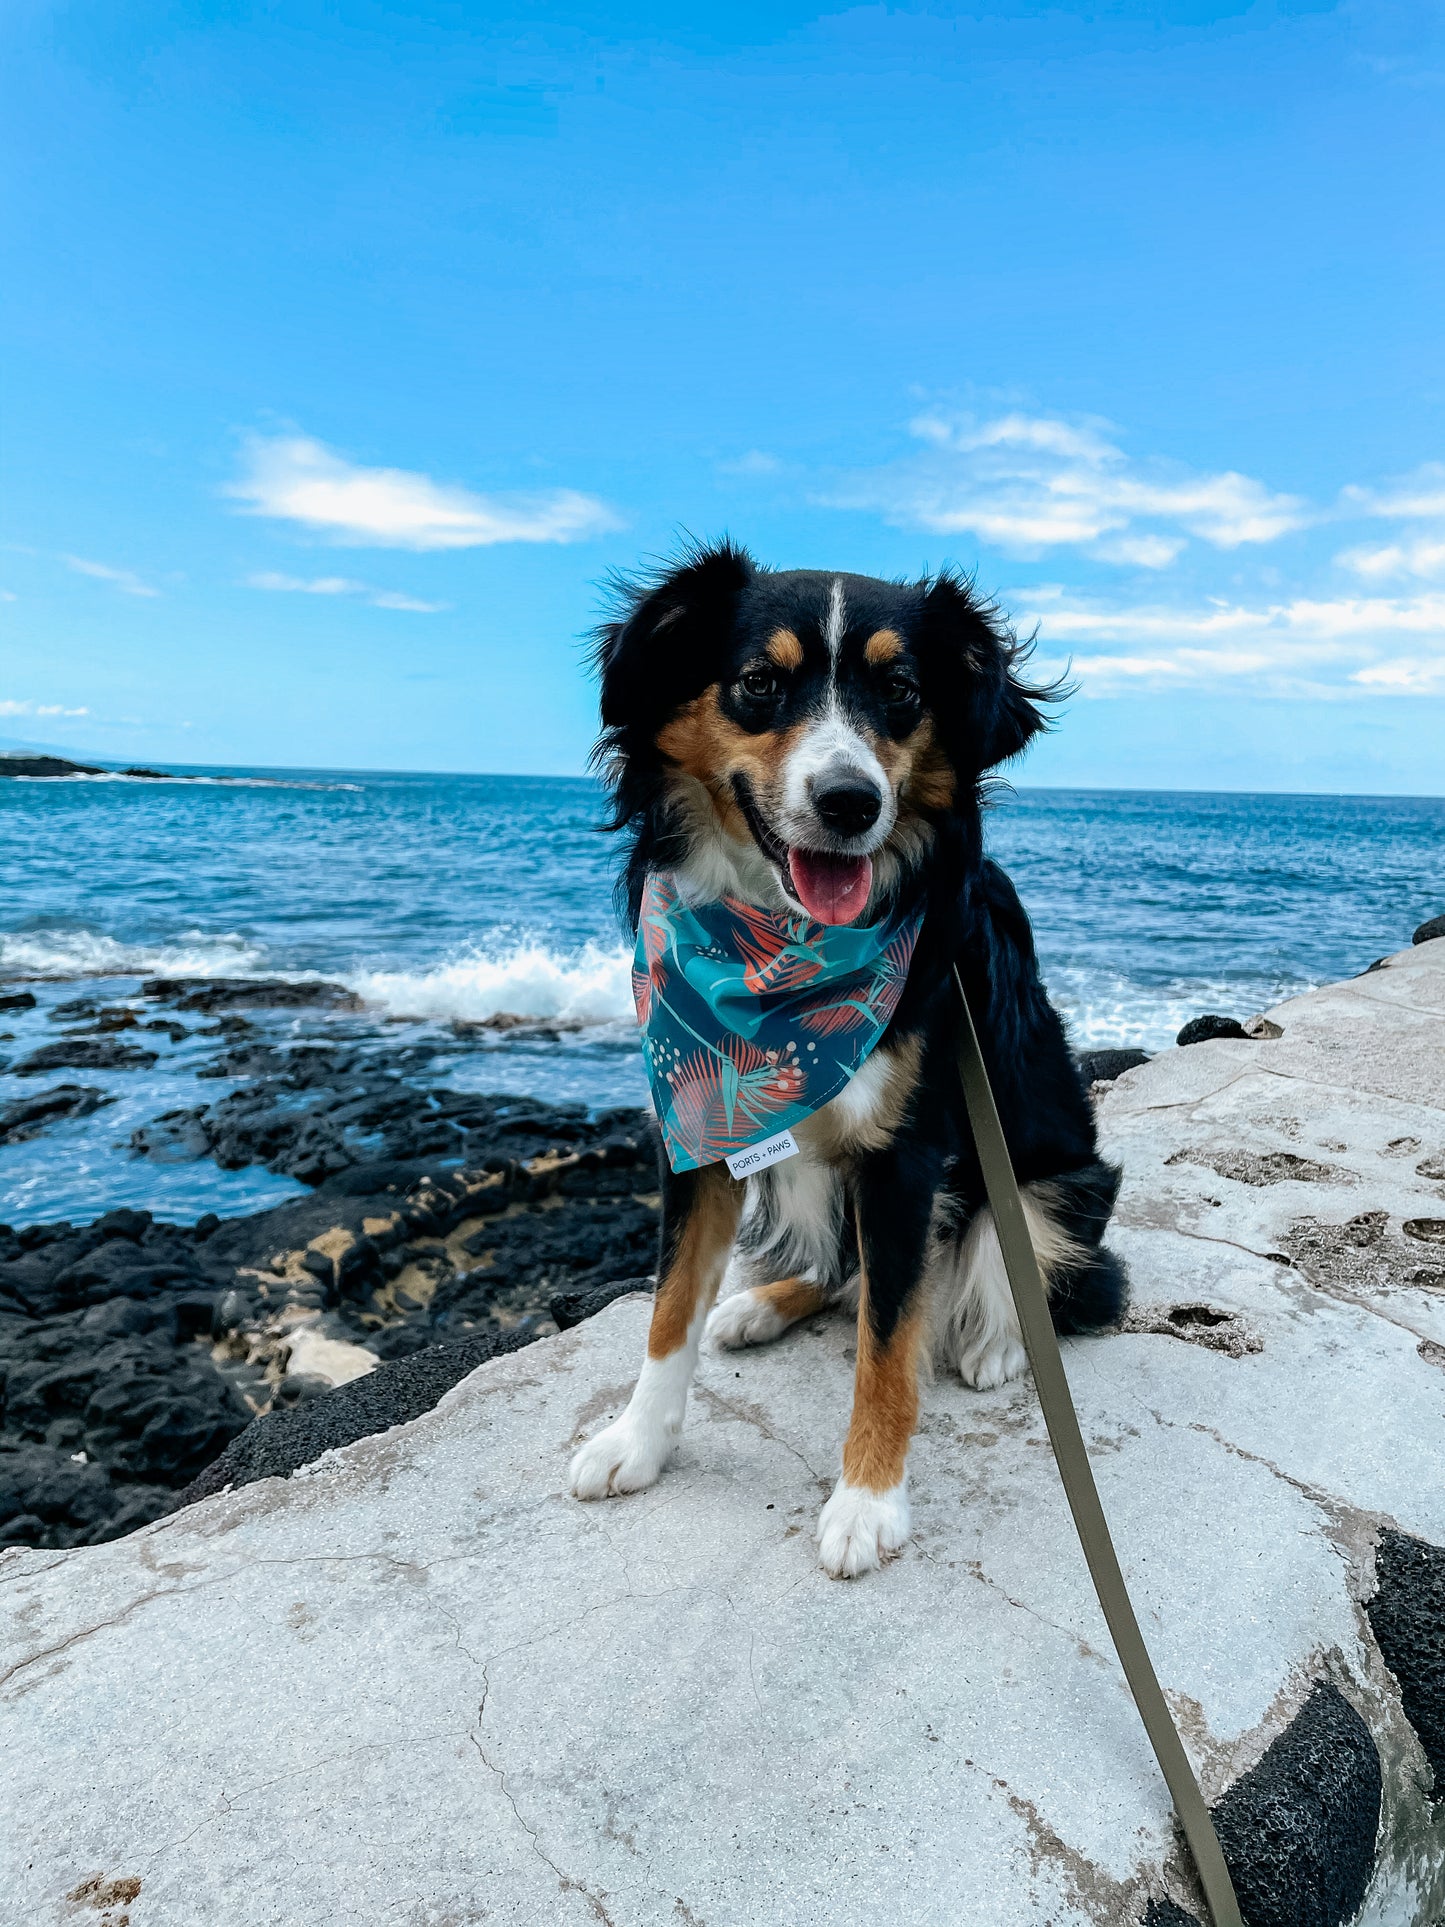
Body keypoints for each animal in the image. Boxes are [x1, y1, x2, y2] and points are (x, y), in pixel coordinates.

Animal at [566, 543, 1132, 1580]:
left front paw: (867, 1500)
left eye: (901, 691)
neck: (778, 953)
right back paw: (760, 1303)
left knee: (1005, 1264)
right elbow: (669, 1310)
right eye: (758, 683)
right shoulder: (696, 1123)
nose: (850, 801)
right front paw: (637, 1440)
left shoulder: (905, 1155)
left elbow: (888, 1345)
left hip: (1061, 1177)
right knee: (844, 1272)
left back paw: (996, 1347)